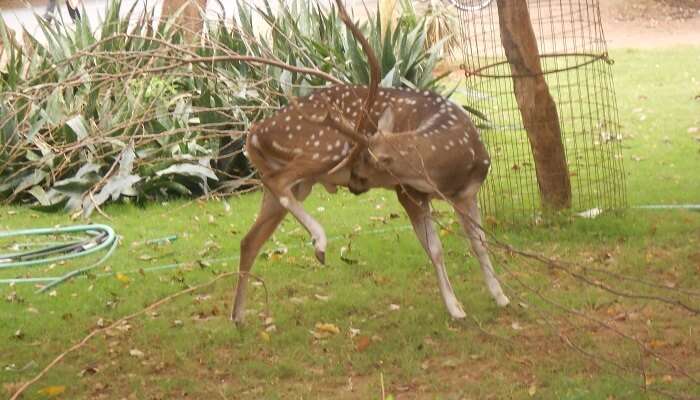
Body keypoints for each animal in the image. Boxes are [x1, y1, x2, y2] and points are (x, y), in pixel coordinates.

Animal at [230, 0, 508, 324]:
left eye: (365, 167)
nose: (352, 184)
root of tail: (253, 136)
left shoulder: (468, 193)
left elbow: (480, 242)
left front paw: (501, 296)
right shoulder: (408, 193)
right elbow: (435, 249)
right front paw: (455, 308)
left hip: (296, 181)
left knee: (249, 239)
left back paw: (238, 317)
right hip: (324, 148)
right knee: (278, 182)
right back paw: (320, 243)